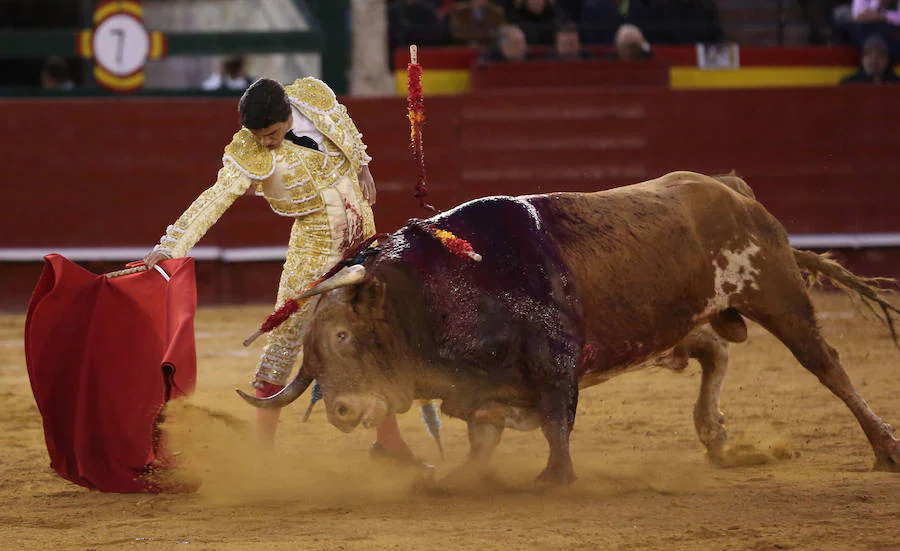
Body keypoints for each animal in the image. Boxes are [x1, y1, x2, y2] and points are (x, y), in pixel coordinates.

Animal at [236, 170, 896, 486]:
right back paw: (714, 434)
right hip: (677, 321)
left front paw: (554, 478)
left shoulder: (554, 359)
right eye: (313, 356)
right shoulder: (478, 384)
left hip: (775, 294)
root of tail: (731, 190)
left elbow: (556, 420)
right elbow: (482, 435)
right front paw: (462, 477)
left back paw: (885, 447)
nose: (341, 412)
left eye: (342, 337)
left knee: (827, 366)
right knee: (714, 351)